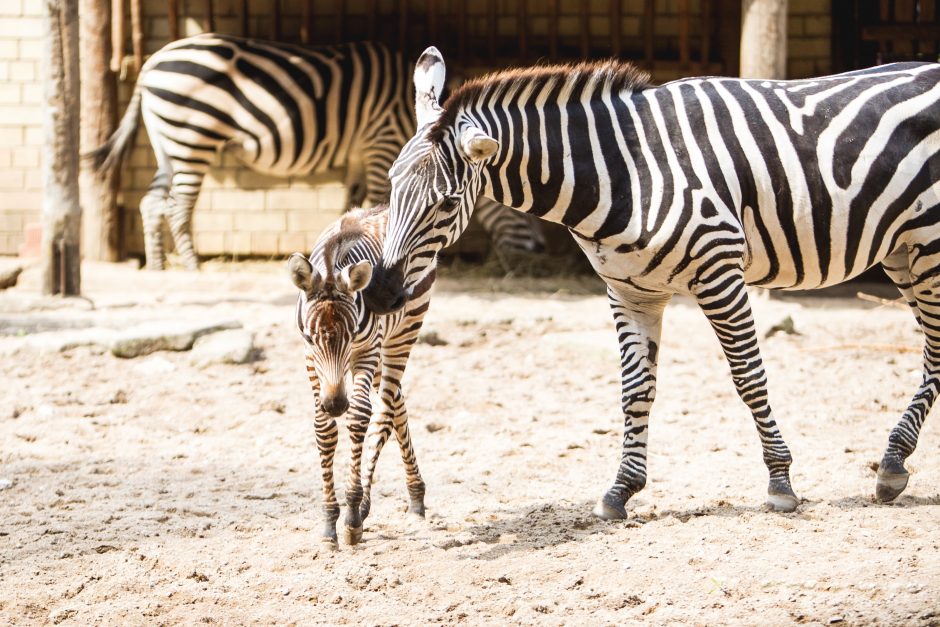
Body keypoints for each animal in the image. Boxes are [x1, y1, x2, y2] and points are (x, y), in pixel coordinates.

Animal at [288, 205, 432, 544]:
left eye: (351, 333)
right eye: (312, 338)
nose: (335, 405)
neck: (331, 267)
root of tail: (383, 207)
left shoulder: (366, 351)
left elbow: (359, 417)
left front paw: (351, 512)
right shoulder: (310, 359)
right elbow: (324, 429)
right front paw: (329, 521)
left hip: (401, 335)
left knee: (384, 411)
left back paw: (370, 505)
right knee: (397, 404)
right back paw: (415, 496)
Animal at [366, 47, 940, 520]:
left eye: (444, 204)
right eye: (390, 186)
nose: (378, 294)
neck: (624, 171)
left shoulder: (720, 271)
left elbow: (749, 379)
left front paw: (780, 482)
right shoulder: (630, 290)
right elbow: (636, 389)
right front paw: (621, 489)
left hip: (928, 242)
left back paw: (891, 462)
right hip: (902, 250)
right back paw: (894, 465)